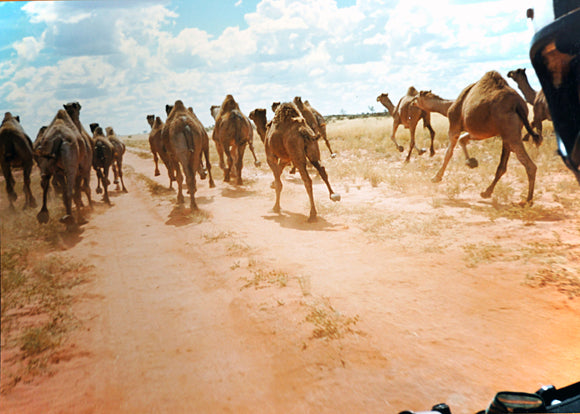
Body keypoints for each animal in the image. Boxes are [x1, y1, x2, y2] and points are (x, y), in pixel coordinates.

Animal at [426, 73, 544, 205]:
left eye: (416, 98)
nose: (414, 101)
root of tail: (518, 104)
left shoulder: (454, 123)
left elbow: (449, 152)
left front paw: (436, 177)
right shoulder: (477, 132)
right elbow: (462, 139)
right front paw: (471, 162)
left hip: (510, 132)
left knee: (529, 165)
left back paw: (526, 201)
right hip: (508, 133)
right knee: (503, 166)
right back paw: (487, 192)